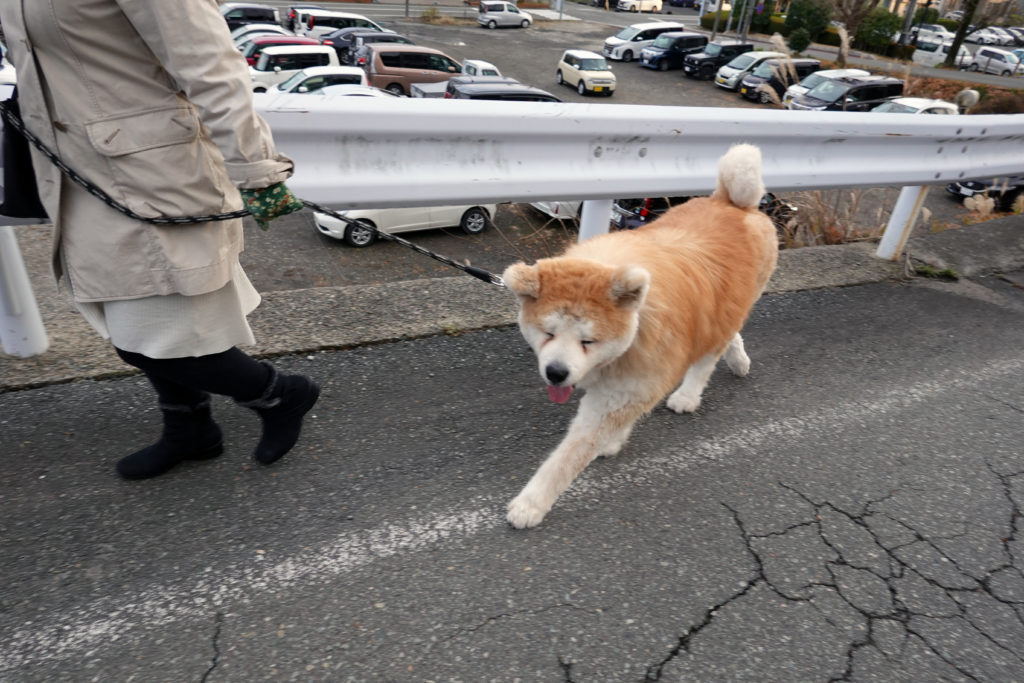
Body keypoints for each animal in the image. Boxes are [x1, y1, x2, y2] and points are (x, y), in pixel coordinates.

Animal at [501, 143, 774, 528]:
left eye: (588, 341)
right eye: (547, 333)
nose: (555, 373)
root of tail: (733, 202)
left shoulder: (636, 379)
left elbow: (568, 456)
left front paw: (531, 503)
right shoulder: (627, 383)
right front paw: (613, 441)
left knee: (707, 359)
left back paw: (688, 395)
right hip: (725, 306)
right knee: (726, 333)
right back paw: (738, 361)